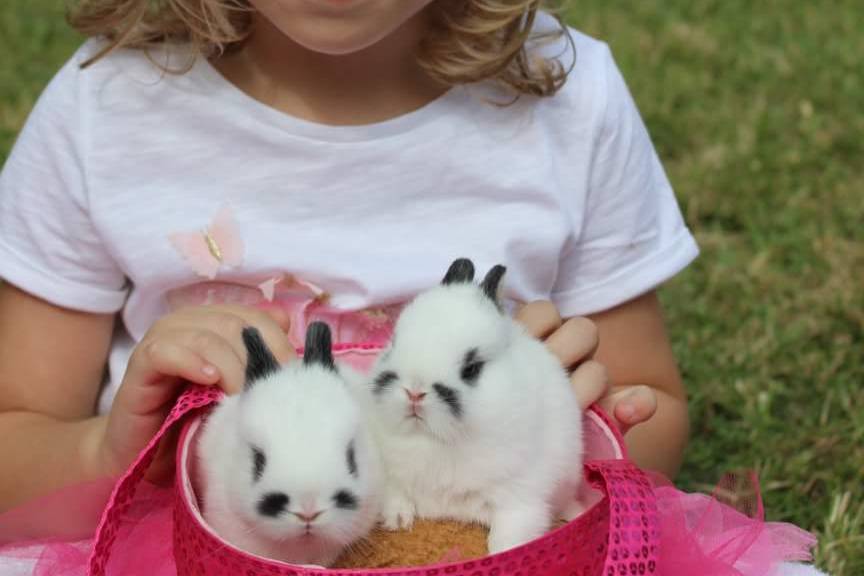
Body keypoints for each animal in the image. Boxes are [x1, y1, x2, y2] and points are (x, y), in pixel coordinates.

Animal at [368, 258, 584, 552]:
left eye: (471, 368)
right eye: (392, 345)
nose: (414, 392)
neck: (433, 440)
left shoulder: (521, 499)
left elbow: (510, 533)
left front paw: (503, 552)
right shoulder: (391, 476)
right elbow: (395, 495)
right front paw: (397, 522)